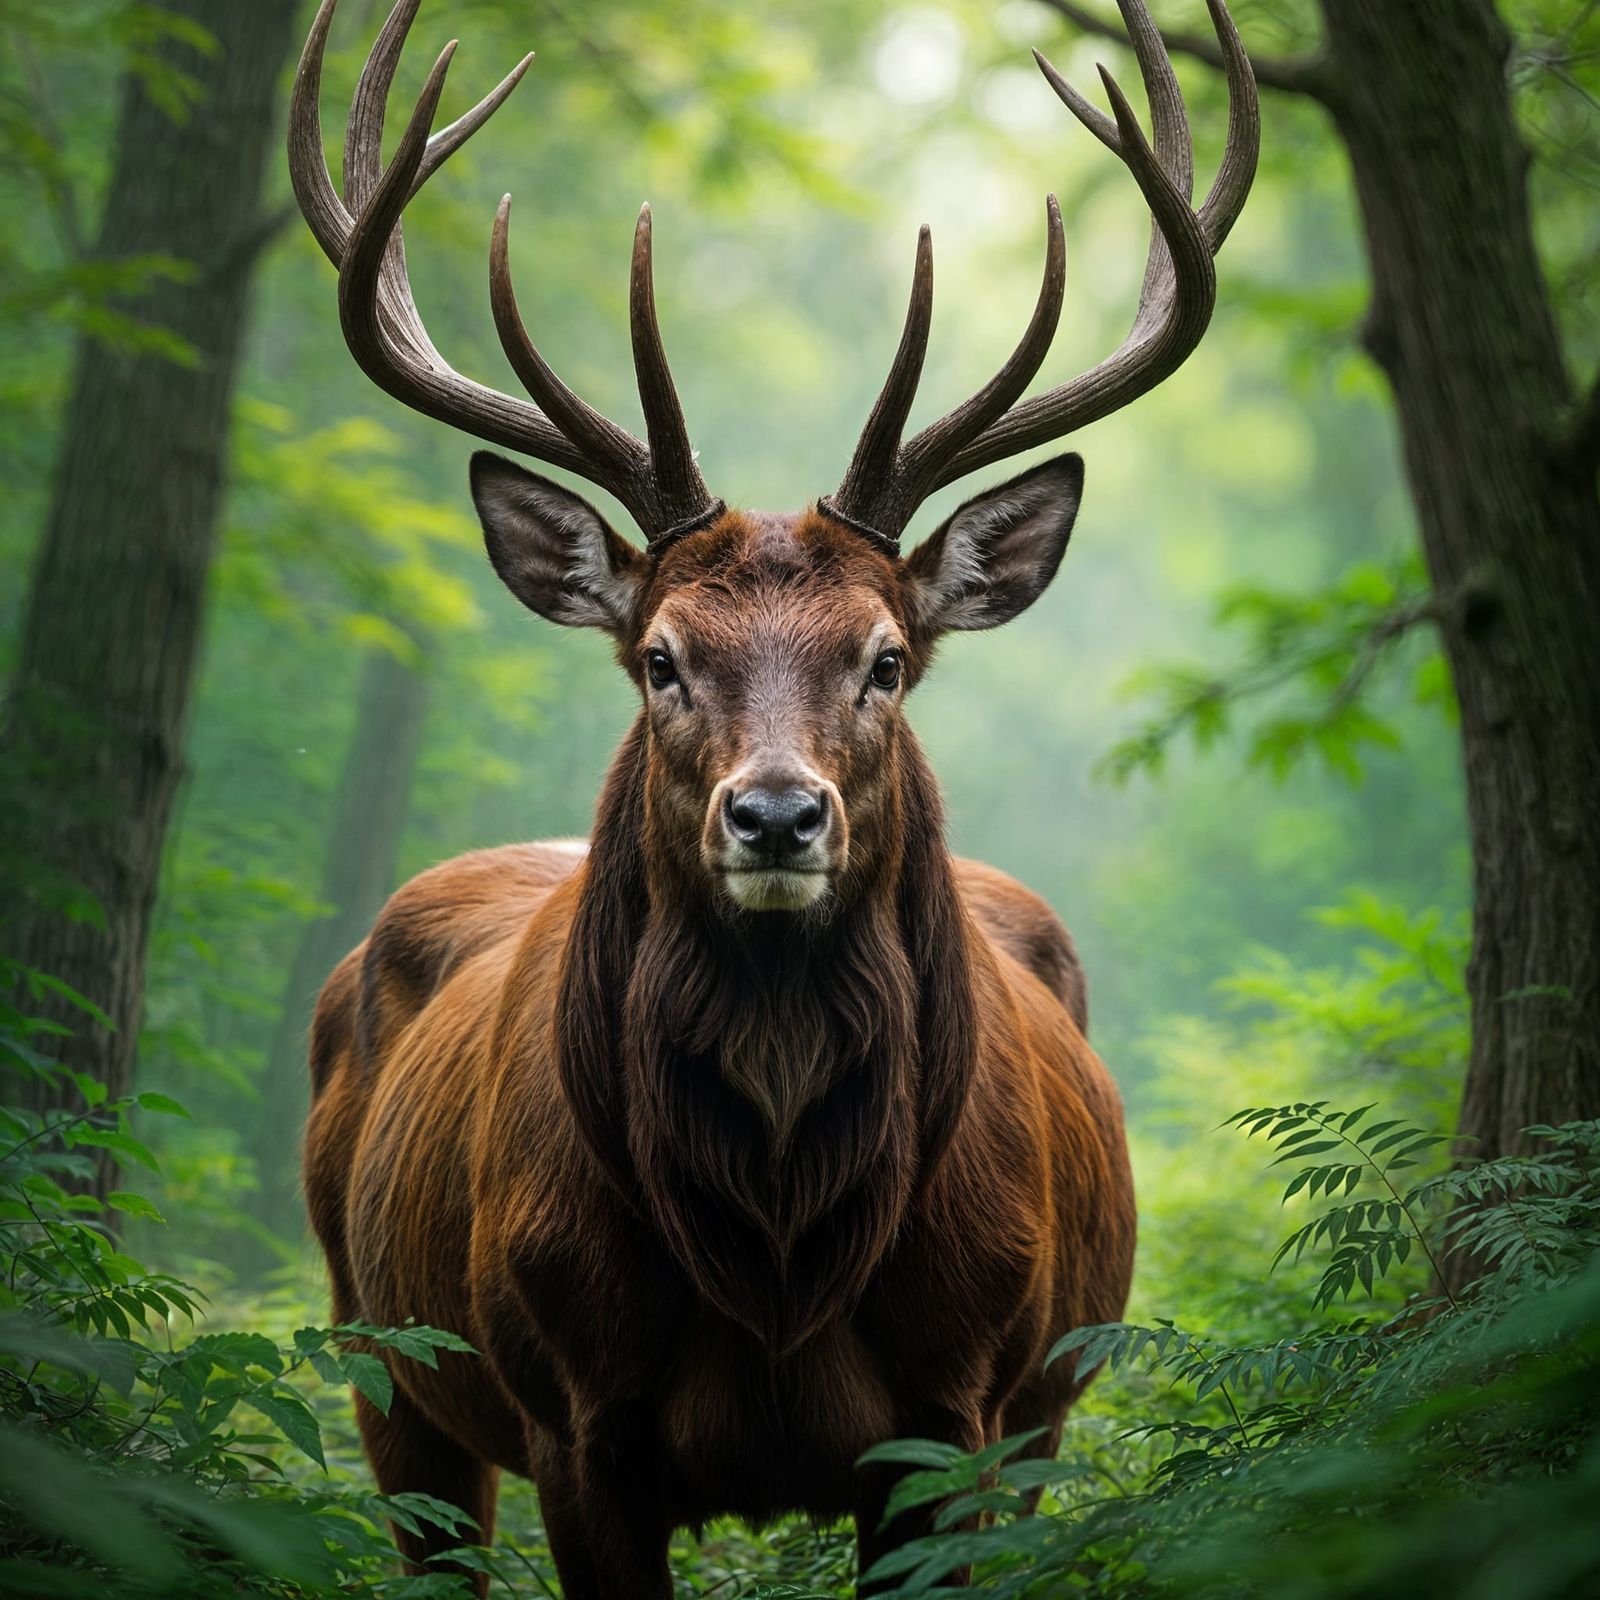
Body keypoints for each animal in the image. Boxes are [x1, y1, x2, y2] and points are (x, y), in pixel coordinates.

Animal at [288, 1, 1256, 1593]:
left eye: (886, 659)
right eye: (661, 658)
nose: (779, 818)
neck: (779, 1259)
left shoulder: (963, 1412)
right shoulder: (571, 1415)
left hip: (1049, 1409)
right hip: (380, 1356)